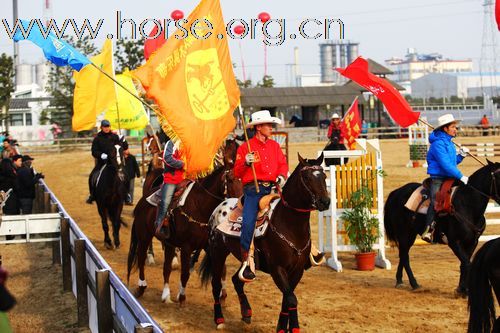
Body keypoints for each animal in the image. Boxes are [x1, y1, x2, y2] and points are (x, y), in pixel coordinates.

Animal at [127, 139, 240, 304]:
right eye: (230, 179)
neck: (200, 205)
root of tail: (142, 201)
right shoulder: (187, 247)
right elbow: (185, 273)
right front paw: (181, 297)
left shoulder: (208, 245)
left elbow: (222, 270)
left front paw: (222, 294)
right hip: (144, 236)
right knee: (141, 258)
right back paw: (142, 286)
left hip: (168, 242)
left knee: (166, 267)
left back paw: (166, 295)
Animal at [199, 152, 332, 330]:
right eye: (307, 177)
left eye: (323, 176)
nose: (325, 201)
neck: (289, 225)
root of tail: (219, 207)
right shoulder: (277, 269)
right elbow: (291, 299)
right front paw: (292, 327)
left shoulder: (297, 271)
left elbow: (287, 299)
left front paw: (282, 327)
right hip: (218, 253)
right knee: (216, 285)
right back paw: (219, 320)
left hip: (247, 262)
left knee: (237, 279)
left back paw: (246, 312)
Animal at [382, 160, 500, 294]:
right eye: (499, 176)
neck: (466, 204)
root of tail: (396, 192)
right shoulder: (454, 242)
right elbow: (467, 263)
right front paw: (464, 290)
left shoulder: (472, 242)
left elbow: (463, 263)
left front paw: (461, 289)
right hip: (404, 234)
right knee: (405, 257)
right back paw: (414, 284)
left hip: (410, 235)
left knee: (403, 254)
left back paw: (399, 281)